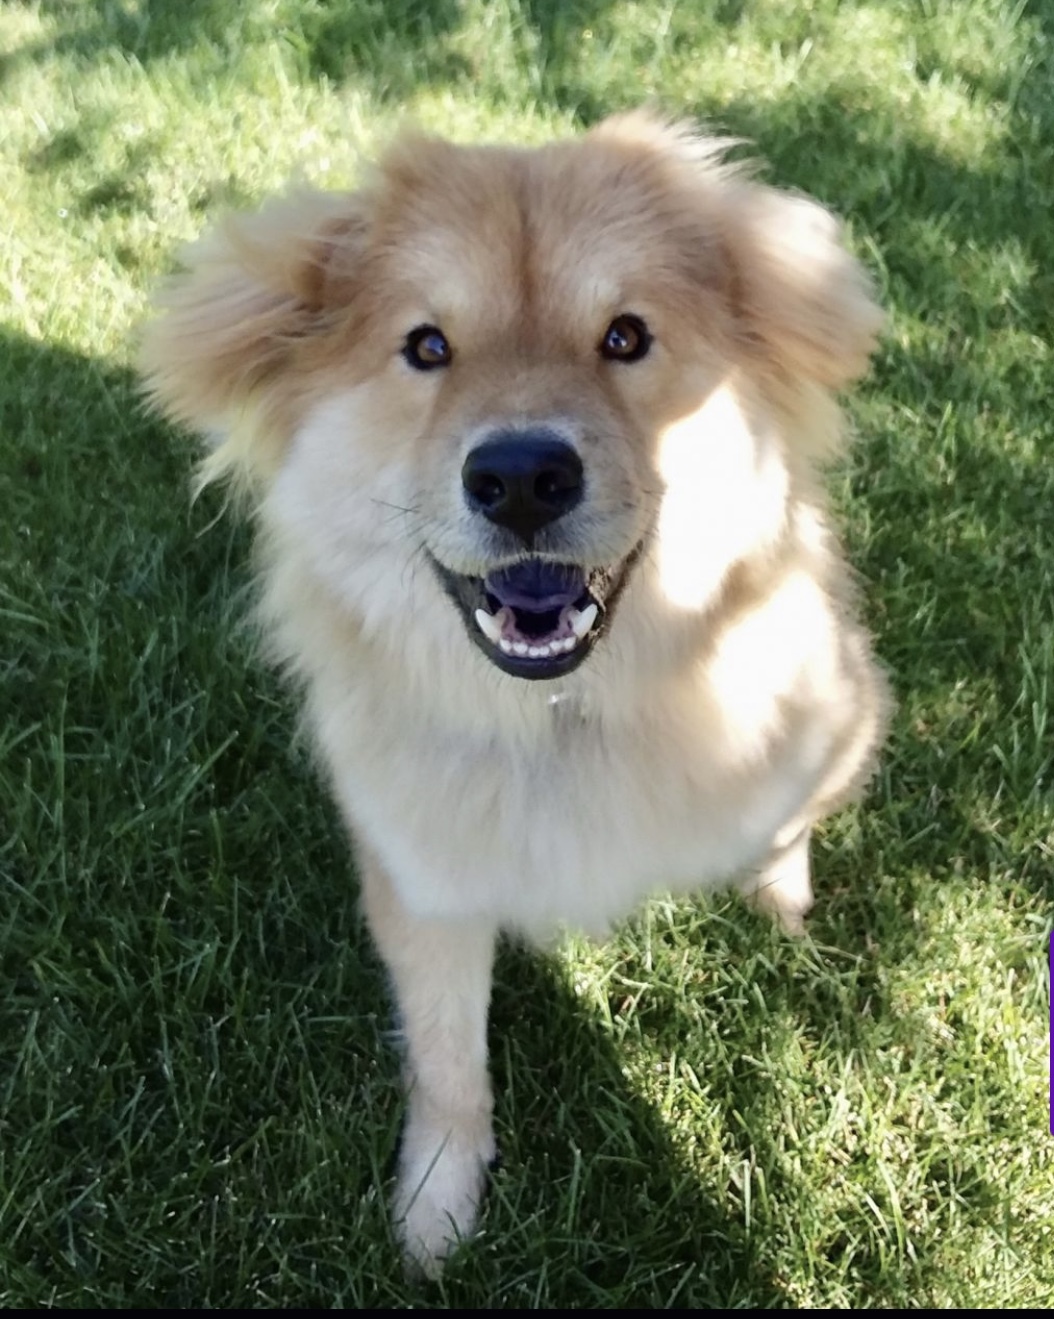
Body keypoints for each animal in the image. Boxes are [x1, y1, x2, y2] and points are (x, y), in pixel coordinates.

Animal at [142, 116, 891, 1276]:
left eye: (625, 337)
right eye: (427, 347)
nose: (524, 476)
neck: (556, 721)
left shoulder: (829, 716)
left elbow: (786, 829)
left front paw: (783, 908)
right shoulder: (423, 881)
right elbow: (448, 1061)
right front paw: (436, 1208)